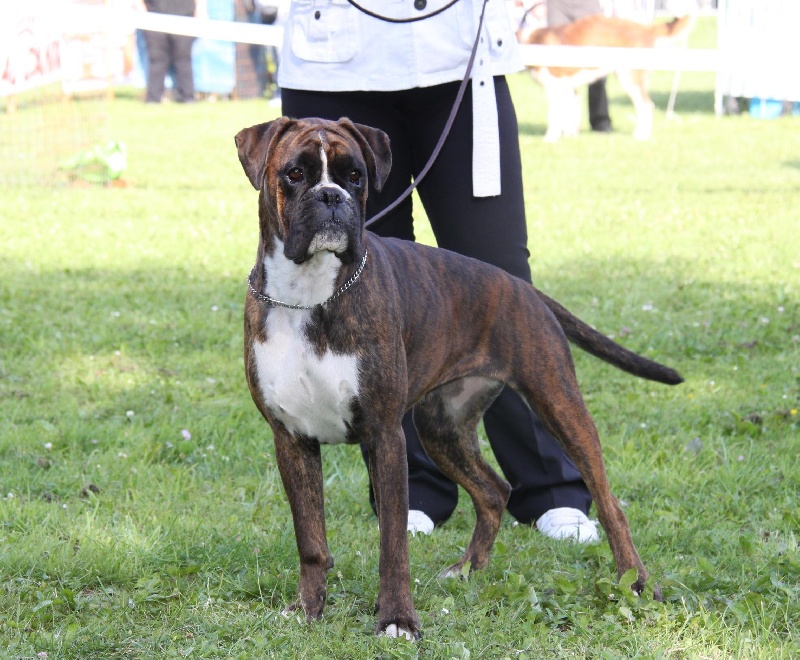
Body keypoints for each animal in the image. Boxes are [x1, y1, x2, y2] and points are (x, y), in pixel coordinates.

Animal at [233, 114, 680, 640]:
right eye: (296, 174)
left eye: (355, 176)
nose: (331, 197)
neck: (308, 296)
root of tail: (524, 288)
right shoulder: (292, 440)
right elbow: (311, 541)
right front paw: (308, 608)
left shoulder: (384, 435)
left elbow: (392, 543)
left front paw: (397, 619)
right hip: (441, 427)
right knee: (494, 492)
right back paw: (467, 570)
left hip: (558, 404)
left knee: (610, 504)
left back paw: (635, 581)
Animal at [520, 14, 692, 141]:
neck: (530, 42)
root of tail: (643, 28)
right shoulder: (569, 87)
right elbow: (571, 112)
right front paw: (570, 136)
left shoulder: (555, 87)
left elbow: (555, 115)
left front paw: (550, 138)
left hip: (629, 78)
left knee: (646, 105)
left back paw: (640, 136)